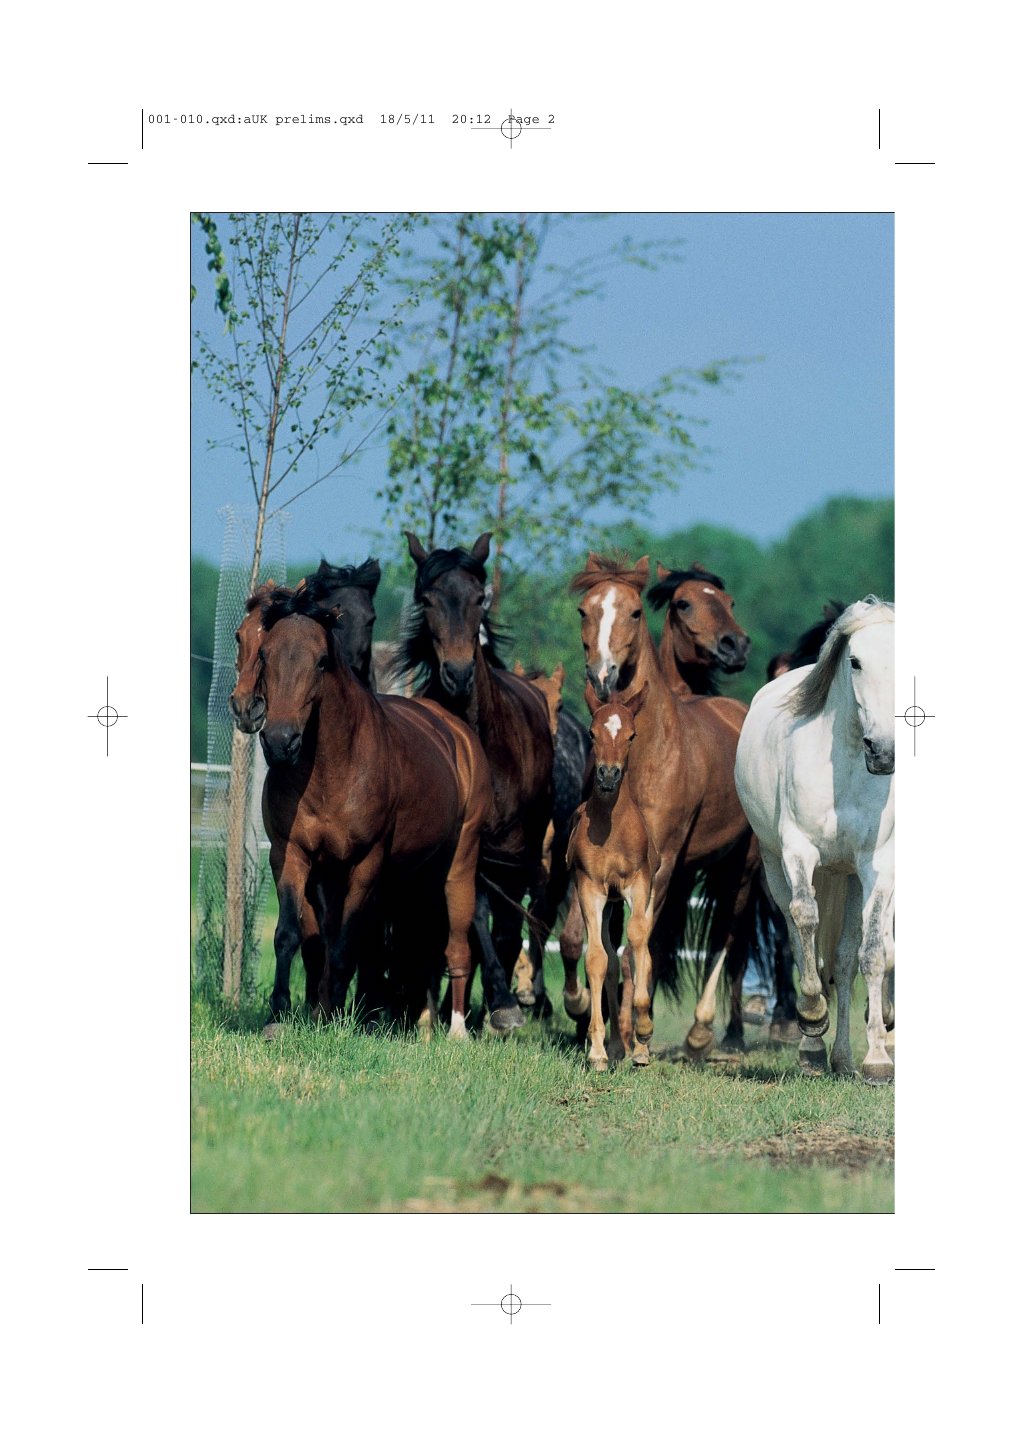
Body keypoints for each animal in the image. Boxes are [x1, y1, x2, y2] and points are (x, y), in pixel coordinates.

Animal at [255, 591, 493, 1039]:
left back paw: (455, 1031)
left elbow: (346, 944)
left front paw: (332, 1019)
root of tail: (459, 734)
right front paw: (280, 1016)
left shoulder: (365, 863)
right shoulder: (290, 853)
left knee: (455, 944)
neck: (332, 769)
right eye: (264, 654)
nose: (279, 742)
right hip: (410, 876)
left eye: (321, 661)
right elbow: (291, 935)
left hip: (459, 864)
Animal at [399, 532, 554, 1031]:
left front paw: (503, 1005)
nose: (459, 673)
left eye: (478, 599)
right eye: (426, 599)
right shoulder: (470, 845)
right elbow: (472, 916)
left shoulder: (503, 848)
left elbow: (496, 920)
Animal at [570, 553, 770, 1059]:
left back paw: (706, 1032)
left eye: (635, 611)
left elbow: (631, 950)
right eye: (584, 610)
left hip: (740, 868)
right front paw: (588, 1018)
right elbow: (594, 941)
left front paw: (629, 1036)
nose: (602, 675)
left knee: (726, 940)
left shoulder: (656, 864)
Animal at [734, 598, 895, 1081]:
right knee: (797, 933)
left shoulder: (877, 866)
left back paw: (841, 1058)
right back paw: (812, 1050)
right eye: (855, 661)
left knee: (843, 960)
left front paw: (877, 1059)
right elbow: (805, 920)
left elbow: (871, 953)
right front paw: (810, 1018)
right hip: (776, 867)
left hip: (849, 877)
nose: (883, 751)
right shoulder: (798, 853)